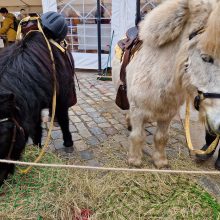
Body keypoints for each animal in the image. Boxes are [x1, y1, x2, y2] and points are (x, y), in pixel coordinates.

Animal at [0, 29, 76, 184]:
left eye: (5, 137)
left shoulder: (61, 100)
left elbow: (64, 121)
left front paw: (68, 143)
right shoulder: (32, 104)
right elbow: (35, 130)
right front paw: (37, 149)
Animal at [112, 0, 220, 168]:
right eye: (205, 58)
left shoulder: (167, 114)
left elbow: (161, 138)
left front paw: (160, 161)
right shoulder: (138, 111)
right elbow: (137, 136)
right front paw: (135, 160)